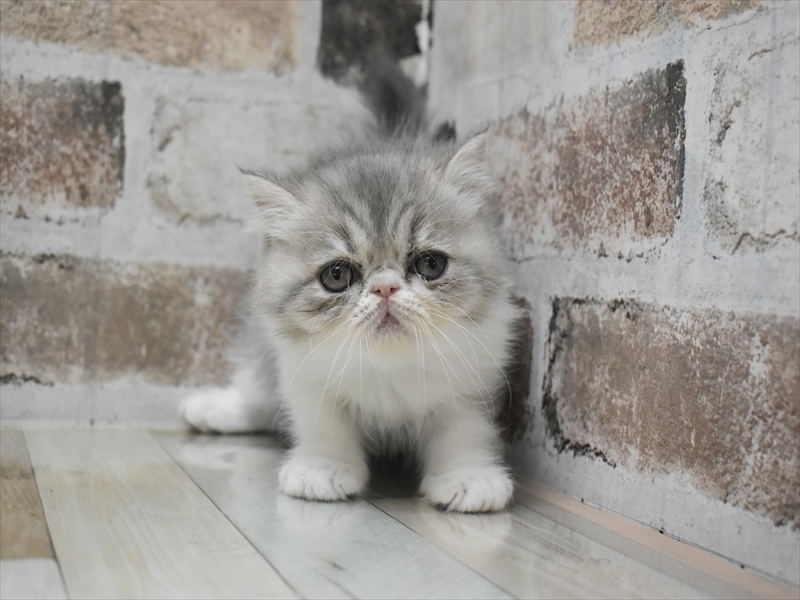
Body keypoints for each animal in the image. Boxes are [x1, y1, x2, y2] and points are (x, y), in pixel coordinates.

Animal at [180, 65, 519, 513]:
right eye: (337, 275)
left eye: (430, 265)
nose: (385, 287)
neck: (387, 368)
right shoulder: (304, 374)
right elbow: (323, 424)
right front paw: (323, 469)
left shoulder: (472, 380)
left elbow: (463, 430)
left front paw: (467, 476)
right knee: (261, 391)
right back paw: (216, 408)